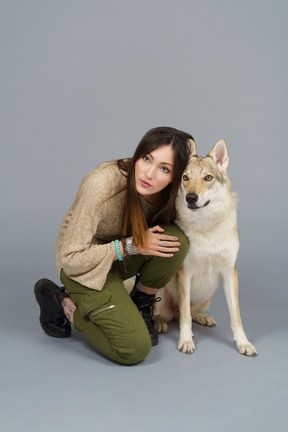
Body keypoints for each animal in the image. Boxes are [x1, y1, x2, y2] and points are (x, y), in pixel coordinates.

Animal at [154, 139, 258, 358]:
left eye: (208, 178)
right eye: (185, 178)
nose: (191, 198)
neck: (206, 225)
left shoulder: (229, 273)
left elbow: (236, 317)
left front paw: (243, 343)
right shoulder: (185, 273)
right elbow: (185, 317)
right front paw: (186, 341)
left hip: (210, 290)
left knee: (187, 312)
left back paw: (203, 318)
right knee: (164, 312)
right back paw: (160, 322)